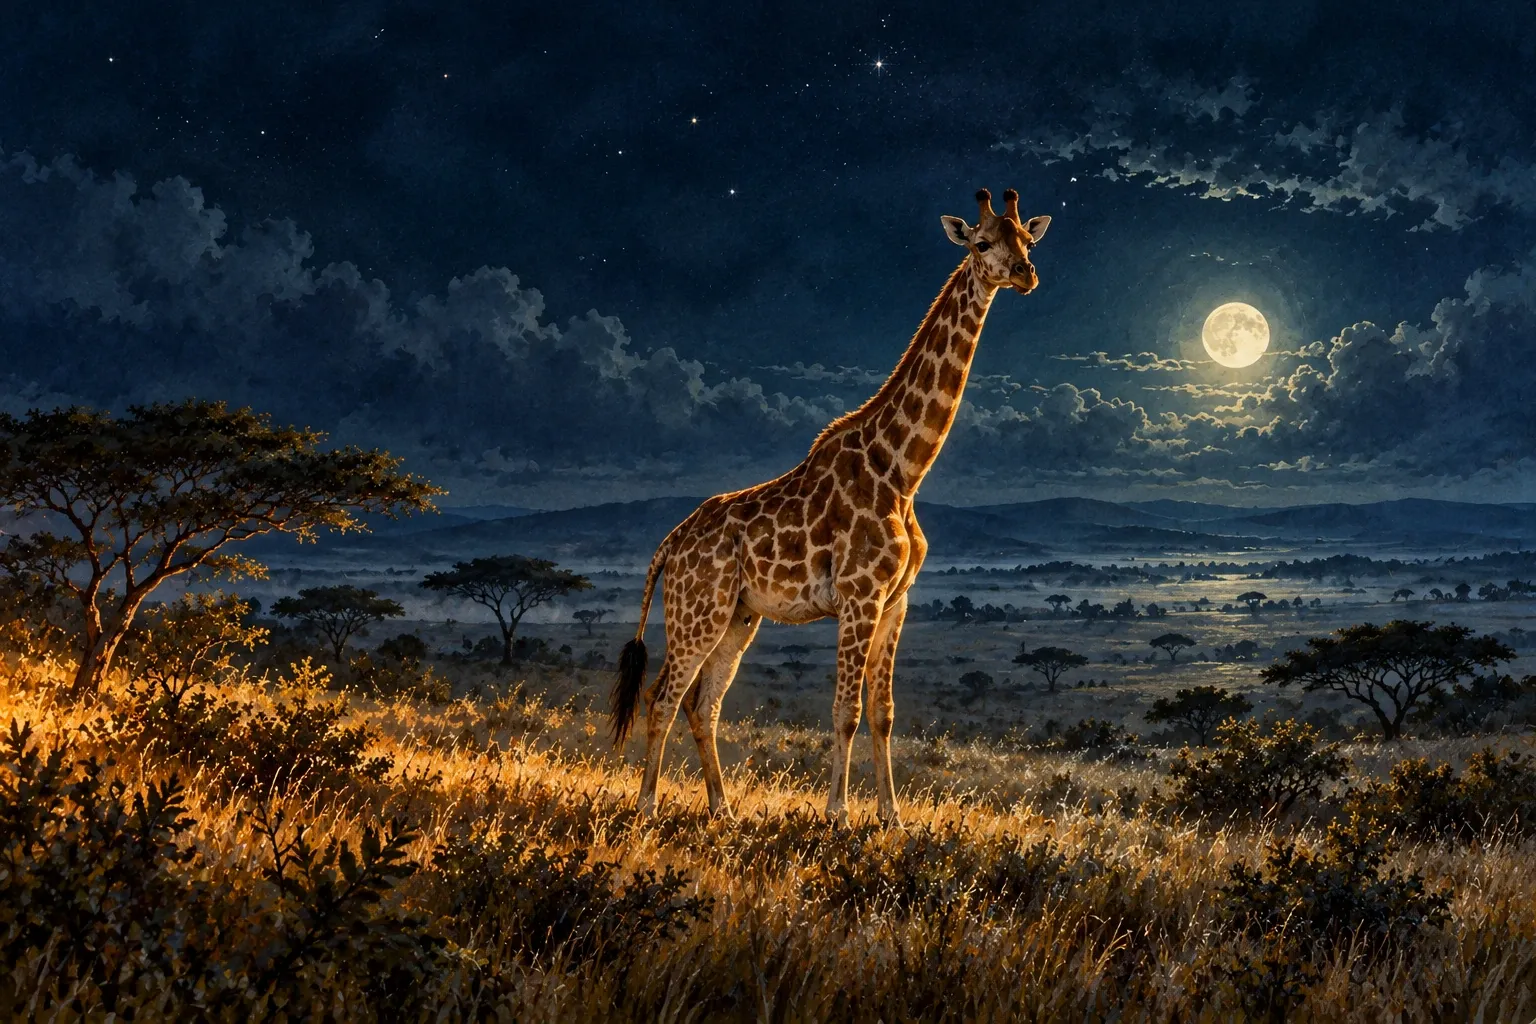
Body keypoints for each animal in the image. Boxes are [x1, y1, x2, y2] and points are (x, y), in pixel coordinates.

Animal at [611, 188, 1051, 824]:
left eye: (1027, 239)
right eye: (982, 242)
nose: (1024, 273)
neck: (902, 471)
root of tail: (670, 543)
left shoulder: (896, 602)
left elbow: (884, 714)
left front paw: (892, 817)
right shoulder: (858, 597)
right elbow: (846, 711)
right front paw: (837, 814)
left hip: (739, 616)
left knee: (703, 702)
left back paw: (723, 809)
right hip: (698, 611)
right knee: (663, 696)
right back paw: (646, 806)